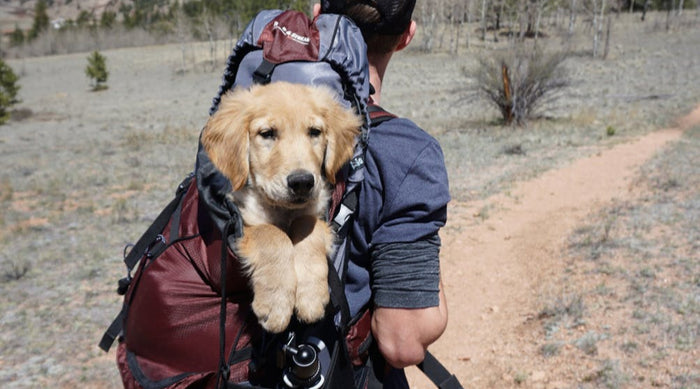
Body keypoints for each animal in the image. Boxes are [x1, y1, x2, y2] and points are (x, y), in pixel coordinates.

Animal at [198, 80, 358, 332]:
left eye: (314, 132)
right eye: (267, 134)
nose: (302, 182)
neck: (283, 210)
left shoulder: (316, 213)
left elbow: (307, 226)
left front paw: (310, 296)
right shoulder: (243, 220)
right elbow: (272, 234)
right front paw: (276, 304)